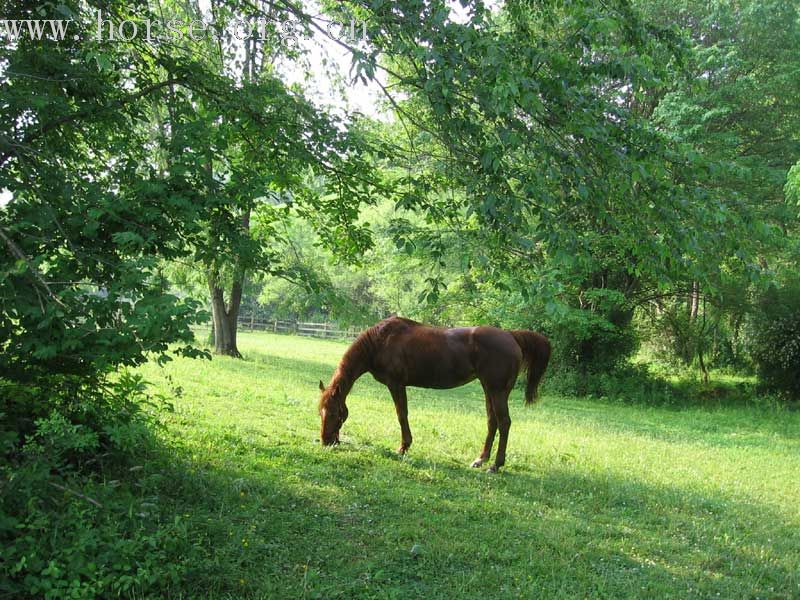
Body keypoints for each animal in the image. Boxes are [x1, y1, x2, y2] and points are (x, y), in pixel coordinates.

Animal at [318, 316, 552, 472]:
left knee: (504, 423)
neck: (380, 341)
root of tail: (510, 335)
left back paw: (495, 465)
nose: (326, 441)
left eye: (334, 413)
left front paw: (403, 447)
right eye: (320, 413)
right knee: (492, 422)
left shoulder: (396, 384)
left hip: (497, 391)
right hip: (489, 389)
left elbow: (402, 415)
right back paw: (481, 459)